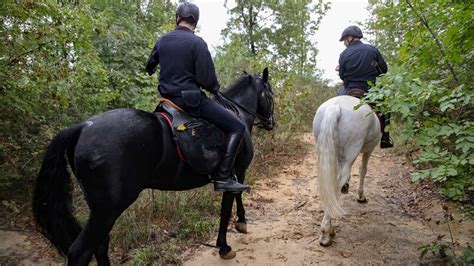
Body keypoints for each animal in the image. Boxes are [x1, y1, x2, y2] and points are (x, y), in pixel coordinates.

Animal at [32, 68, 274, 264]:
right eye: (270, 94)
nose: (271, 122)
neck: (237, 114)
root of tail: (82, 127)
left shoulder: (236, 173)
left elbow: (236, 197)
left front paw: (240, 223)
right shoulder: (235, 172)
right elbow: (228, 206)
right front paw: (226, 243)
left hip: (100, 210)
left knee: (100, 246)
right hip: (107, 210)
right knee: (80, 251)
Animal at [312, 95, 382, 245]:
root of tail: (335, 106)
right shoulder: (369, 150)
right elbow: (363, 169)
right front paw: (361, 196)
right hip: (352, 151)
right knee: (338, 182)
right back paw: (327, 232)